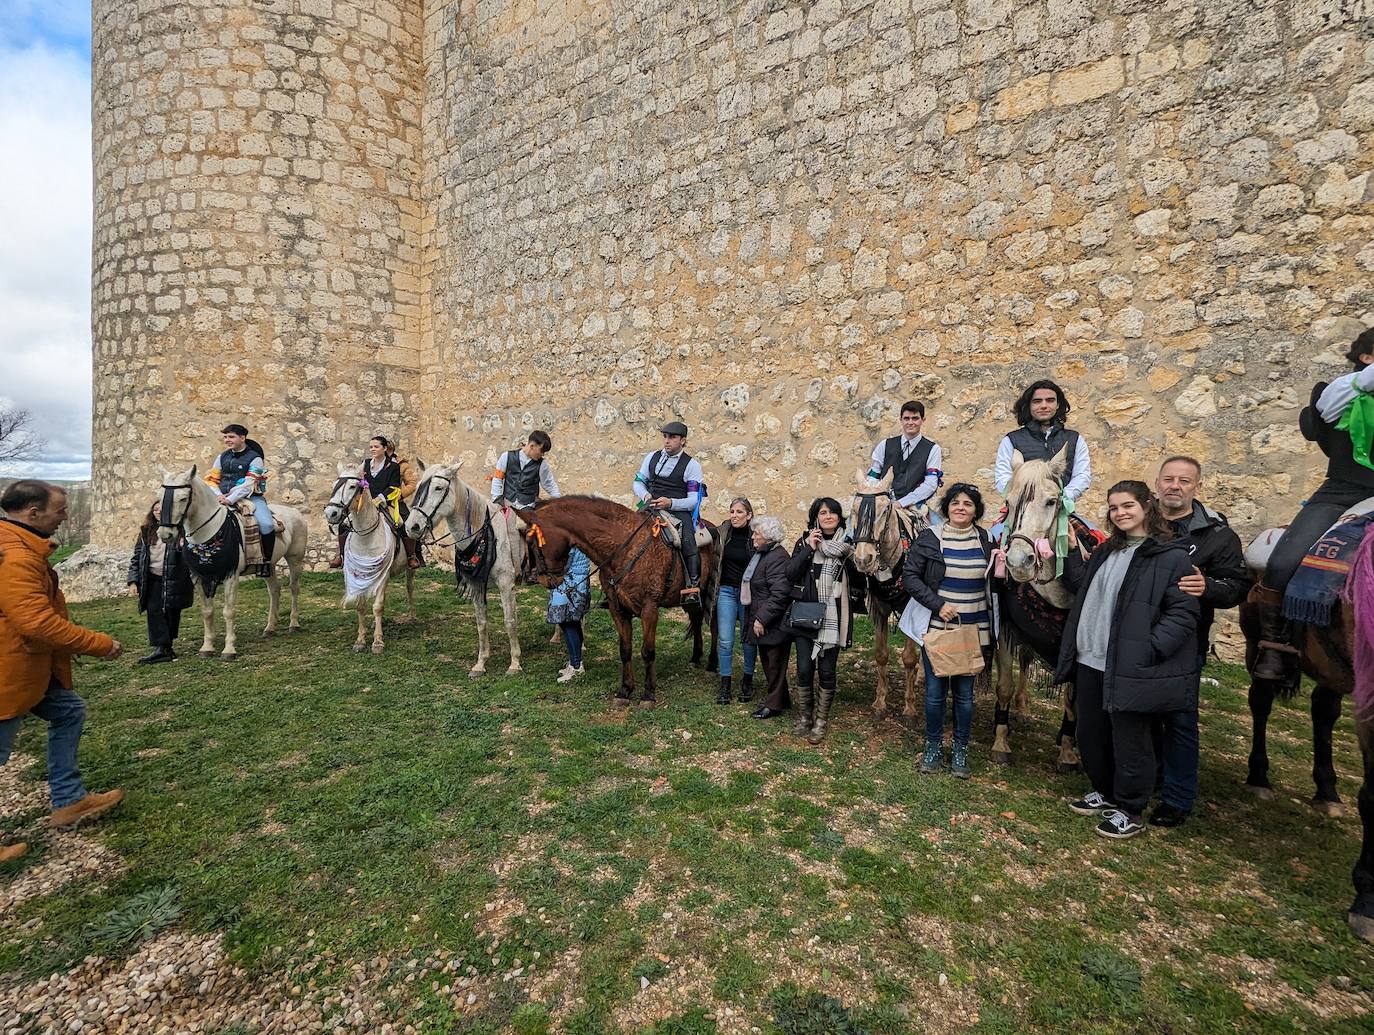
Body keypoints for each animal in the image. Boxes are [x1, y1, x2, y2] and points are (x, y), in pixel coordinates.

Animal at [157, 464, 307, 657]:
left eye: (183, 498)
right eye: (160, 496)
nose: (165, 534)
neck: (210, 533)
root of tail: (295, 512)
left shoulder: (231, 576)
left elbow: (228, 612)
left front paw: (229, 649)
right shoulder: (198, 577)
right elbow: (207, 611)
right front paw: (207, 647)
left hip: (295, 560)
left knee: (294, 588)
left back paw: (293, 624)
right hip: (268, 566)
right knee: (274, 590)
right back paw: (270, 628)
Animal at [324, 461, 414, 648]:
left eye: (352, 486)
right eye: (334, 484)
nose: (331, 513)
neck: (366, 537)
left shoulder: (383, 574)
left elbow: (378, 606)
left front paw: (378, 641)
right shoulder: (358, 574)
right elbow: (361, 606)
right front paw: (360, 639)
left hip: (409, 569)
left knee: (409, 587)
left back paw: (412, 616)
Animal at [401, 461, 524, 679]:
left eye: (438, 488)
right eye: (418, 488)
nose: (412, 527)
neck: (486, 534)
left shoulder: (506, 584)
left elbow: (510, 621)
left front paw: (515, 663)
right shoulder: (476, 586)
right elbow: (481, 623)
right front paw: (480, 663)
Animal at [516, 497, 719, 709]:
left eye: (532, 542)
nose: (541, 579)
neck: (623, 548)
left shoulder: (649, 609)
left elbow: (648, 651)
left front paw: (648, 694)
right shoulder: (617, 609)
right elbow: (625, 650)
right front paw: (625, 690)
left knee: (714, 627)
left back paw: (712, 664)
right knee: (696, 620)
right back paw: (695, 657)